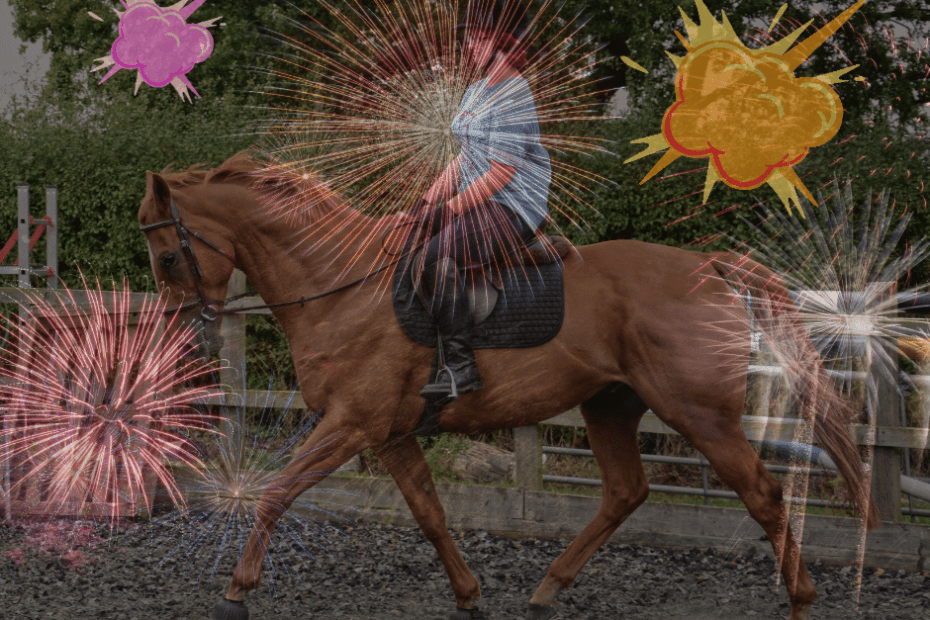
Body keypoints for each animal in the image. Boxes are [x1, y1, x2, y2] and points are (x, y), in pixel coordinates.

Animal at [138, 151, 879, 620]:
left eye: (169, 255)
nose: (188, 332)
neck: (340, 287)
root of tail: (708, 267)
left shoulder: (351, 423)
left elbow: (274, 493)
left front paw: (237, 589)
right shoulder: (393, 433)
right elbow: (430, 514)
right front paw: (469, 594)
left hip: (700, 415)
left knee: (762, 495)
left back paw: (801, 600)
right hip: (610, 404)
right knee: (626, 491)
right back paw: (548, 589)